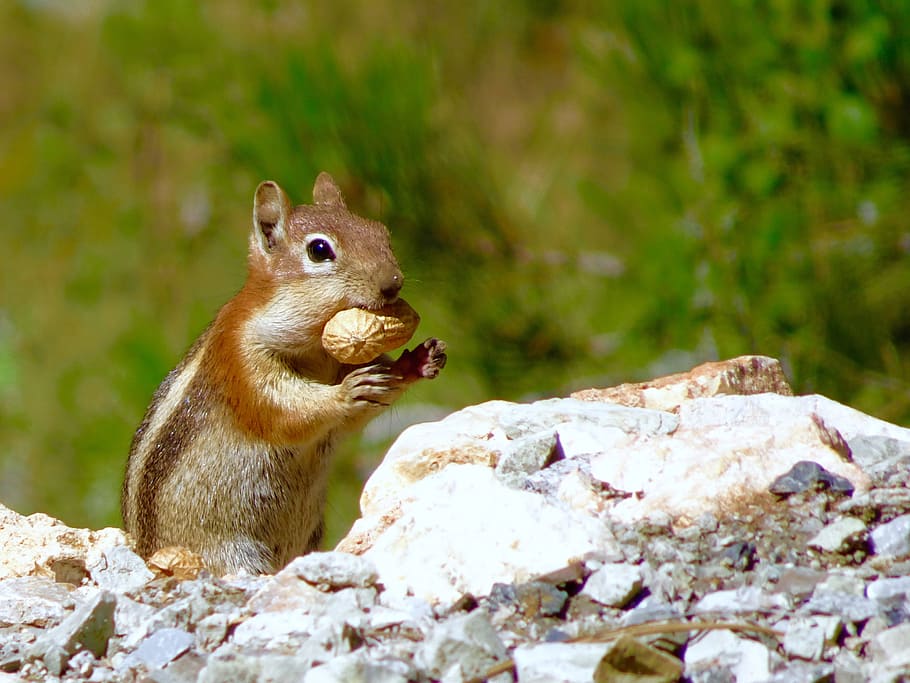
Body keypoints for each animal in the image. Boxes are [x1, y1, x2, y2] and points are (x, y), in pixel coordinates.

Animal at [121, 172, 447, 575]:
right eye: (319, 250)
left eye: (380, 231)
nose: (393, 283)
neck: (317, 349)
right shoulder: (242, 360)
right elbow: (285, 409)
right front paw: (346, 392)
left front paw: (417, 361)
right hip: (230, 553)